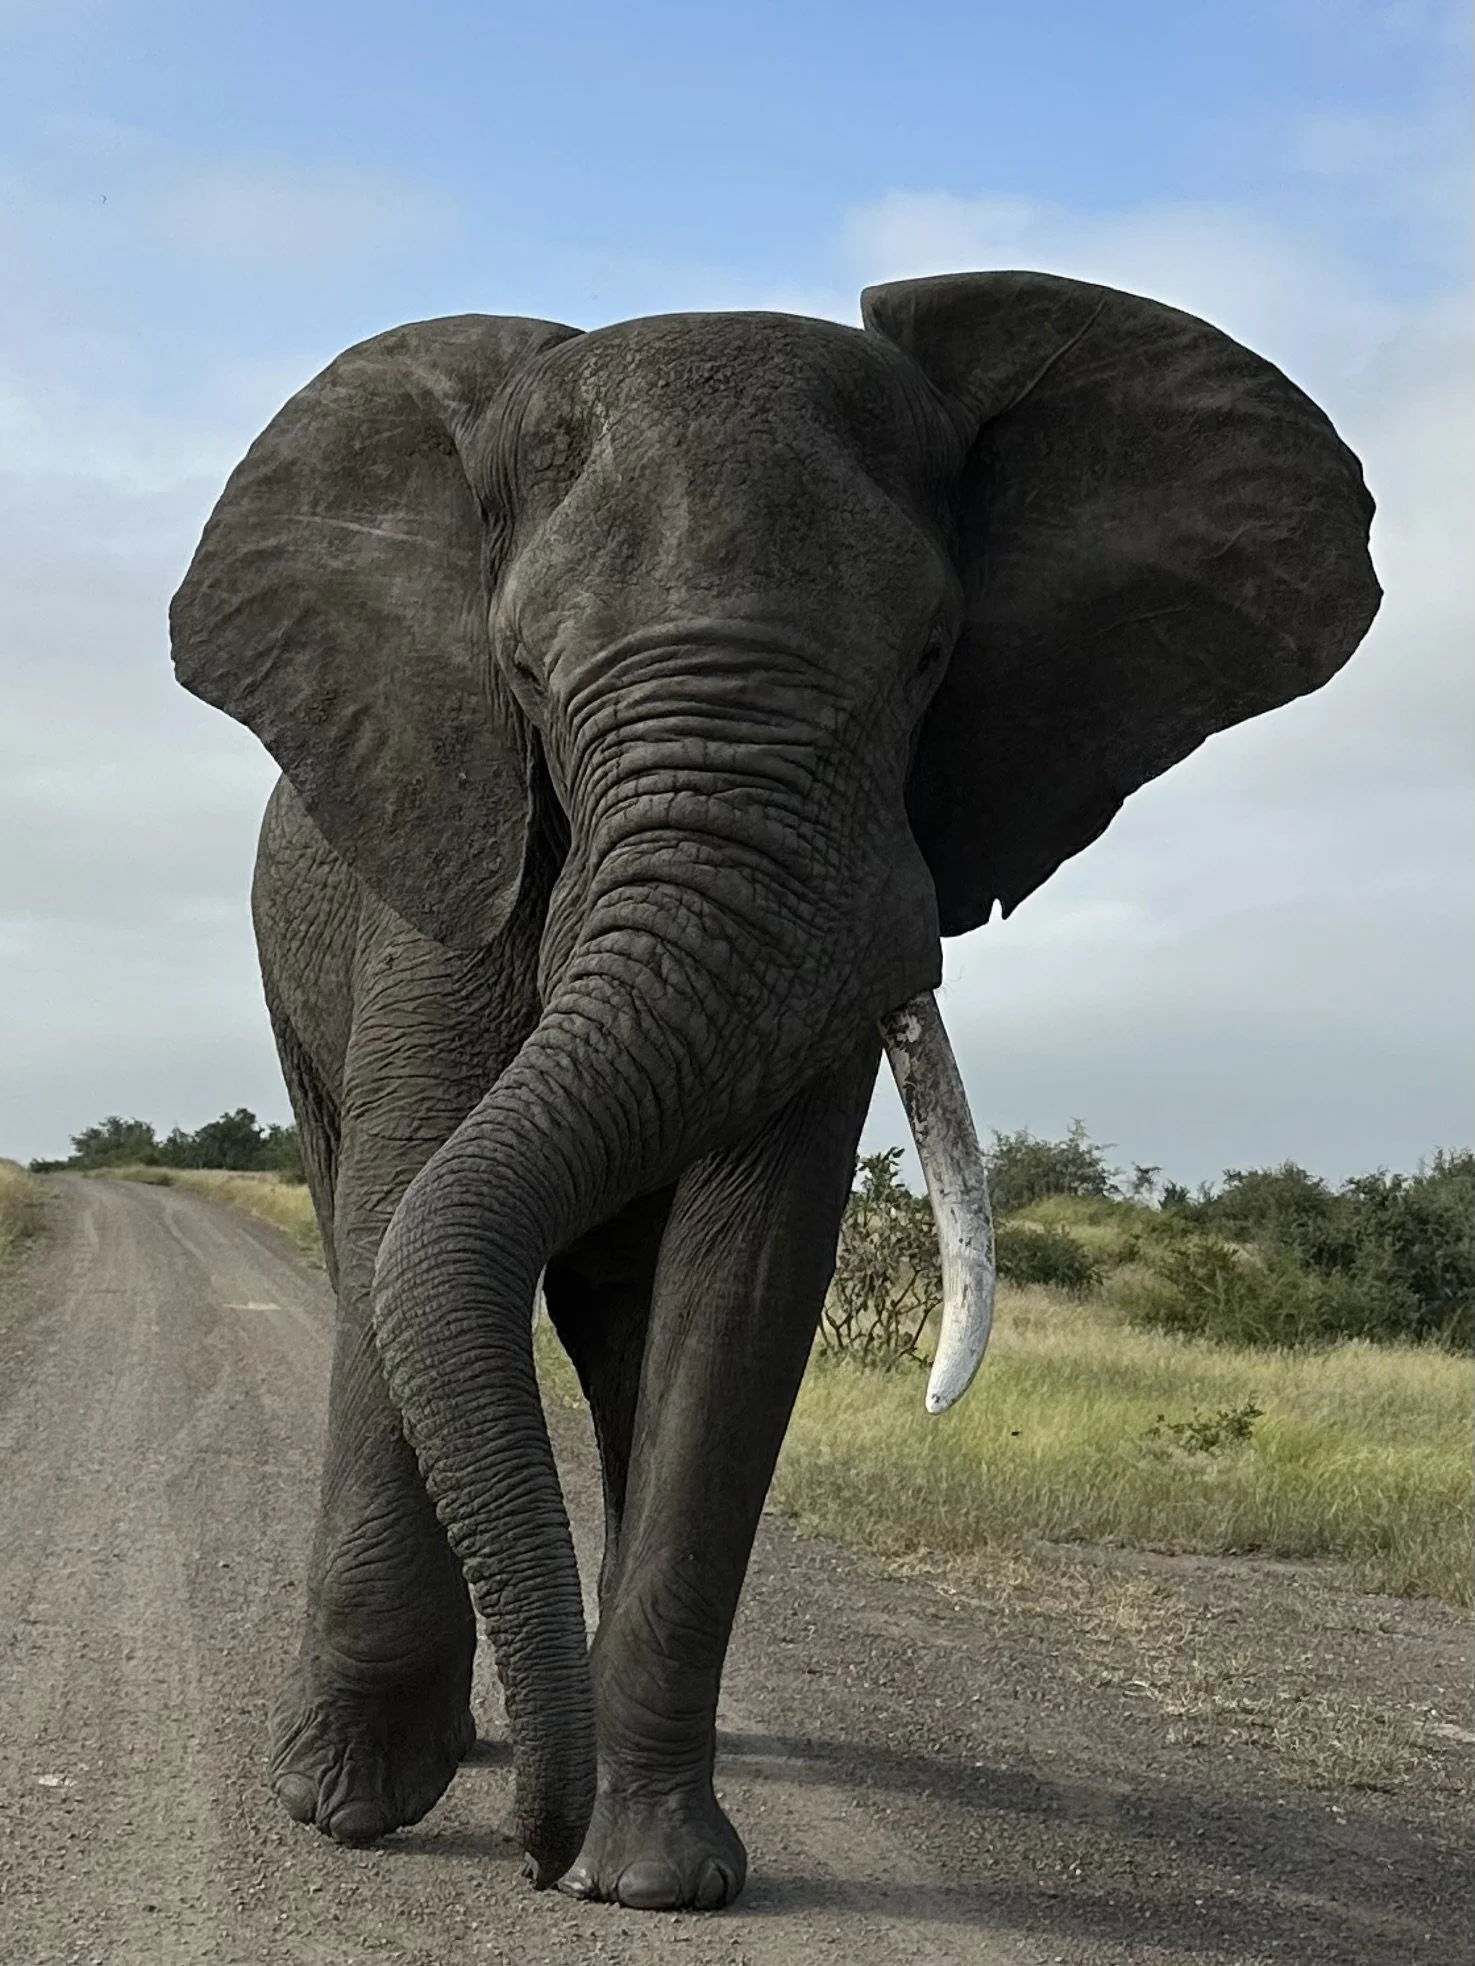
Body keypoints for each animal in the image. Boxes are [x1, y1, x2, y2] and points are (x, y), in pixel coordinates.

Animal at [170, 270, 1378, 1910]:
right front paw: (348, 1808)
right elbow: (400, 1206)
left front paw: (651, 1877)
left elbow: (743, 1275)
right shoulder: (438, 853)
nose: (532, 1857)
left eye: (930, 660)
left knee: (621, 1319)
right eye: (525, 680)